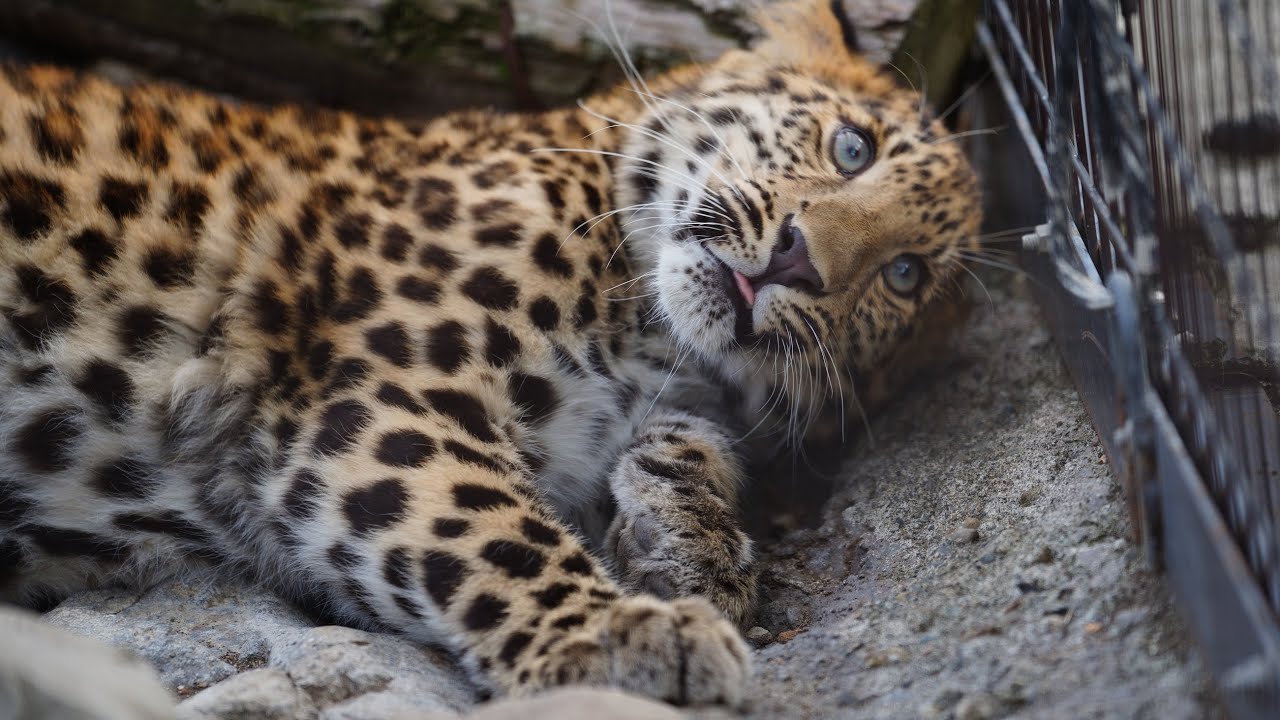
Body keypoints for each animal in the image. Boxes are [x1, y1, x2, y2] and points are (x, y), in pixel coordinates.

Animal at [0, 0, 981, 707]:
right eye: (853, 146)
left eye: (903, 276)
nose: (798, 261)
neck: (647, 333)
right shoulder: (375, 394)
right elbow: (484, 525)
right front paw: (617, 633)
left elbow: (686, 448)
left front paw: (692, 545)